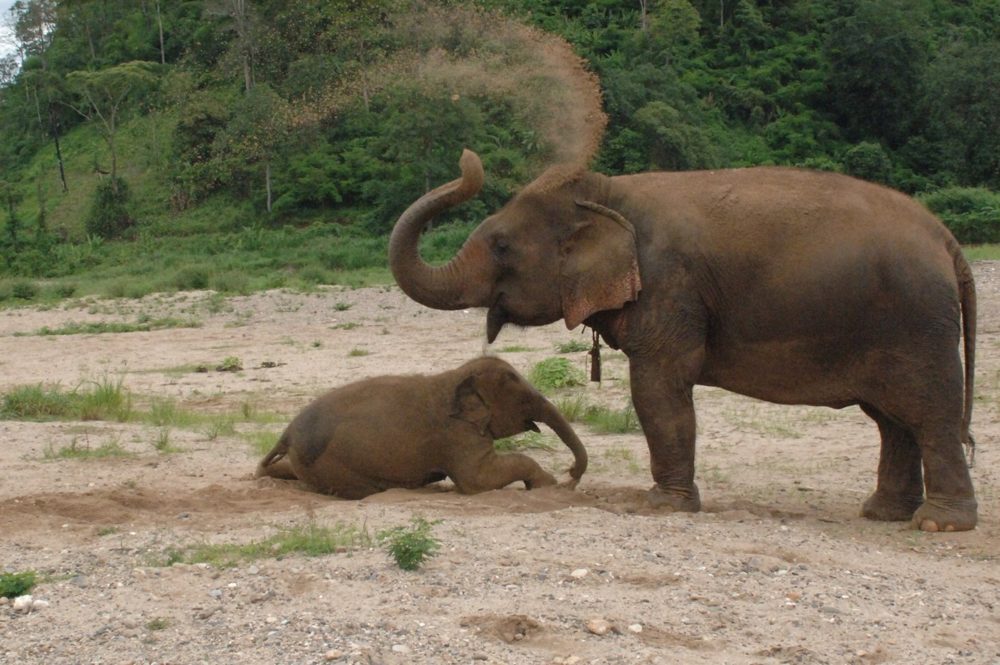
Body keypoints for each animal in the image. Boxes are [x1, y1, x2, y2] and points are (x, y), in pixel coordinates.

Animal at [255, 356, 588, 499]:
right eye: (523, 398)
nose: (570, 476)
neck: (456, 376)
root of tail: (286, 433)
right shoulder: (457, 434)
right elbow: (477, 480)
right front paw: (546, 486)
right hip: (333, 466)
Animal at [388, 149, 978, 531]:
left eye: (502, 245)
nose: (468, 158)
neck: (609, 191)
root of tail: (947, 239)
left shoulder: (669, 286)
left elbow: (658, 388)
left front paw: (662, 507)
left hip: (916, 322)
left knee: (928, 412)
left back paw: (939, 525)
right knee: (893, 419)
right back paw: (882, 515)